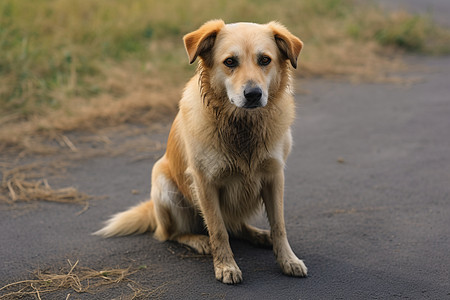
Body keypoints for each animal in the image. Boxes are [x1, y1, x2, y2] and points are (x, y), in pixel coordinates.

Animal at [94, 19, 306, 284]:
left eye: (265, 60)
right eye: (230, 62)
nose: (254, 94)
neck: (242, 127)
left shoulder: (274, 177)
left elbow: (279, 226)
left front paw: (288, 260)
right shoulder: (205, 182)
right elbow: (217, 230)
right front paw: (225, 266)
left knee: (237, 227)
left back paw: (259, 235)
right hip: (165, 186)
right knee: (173, 234)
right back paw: (199, 241)